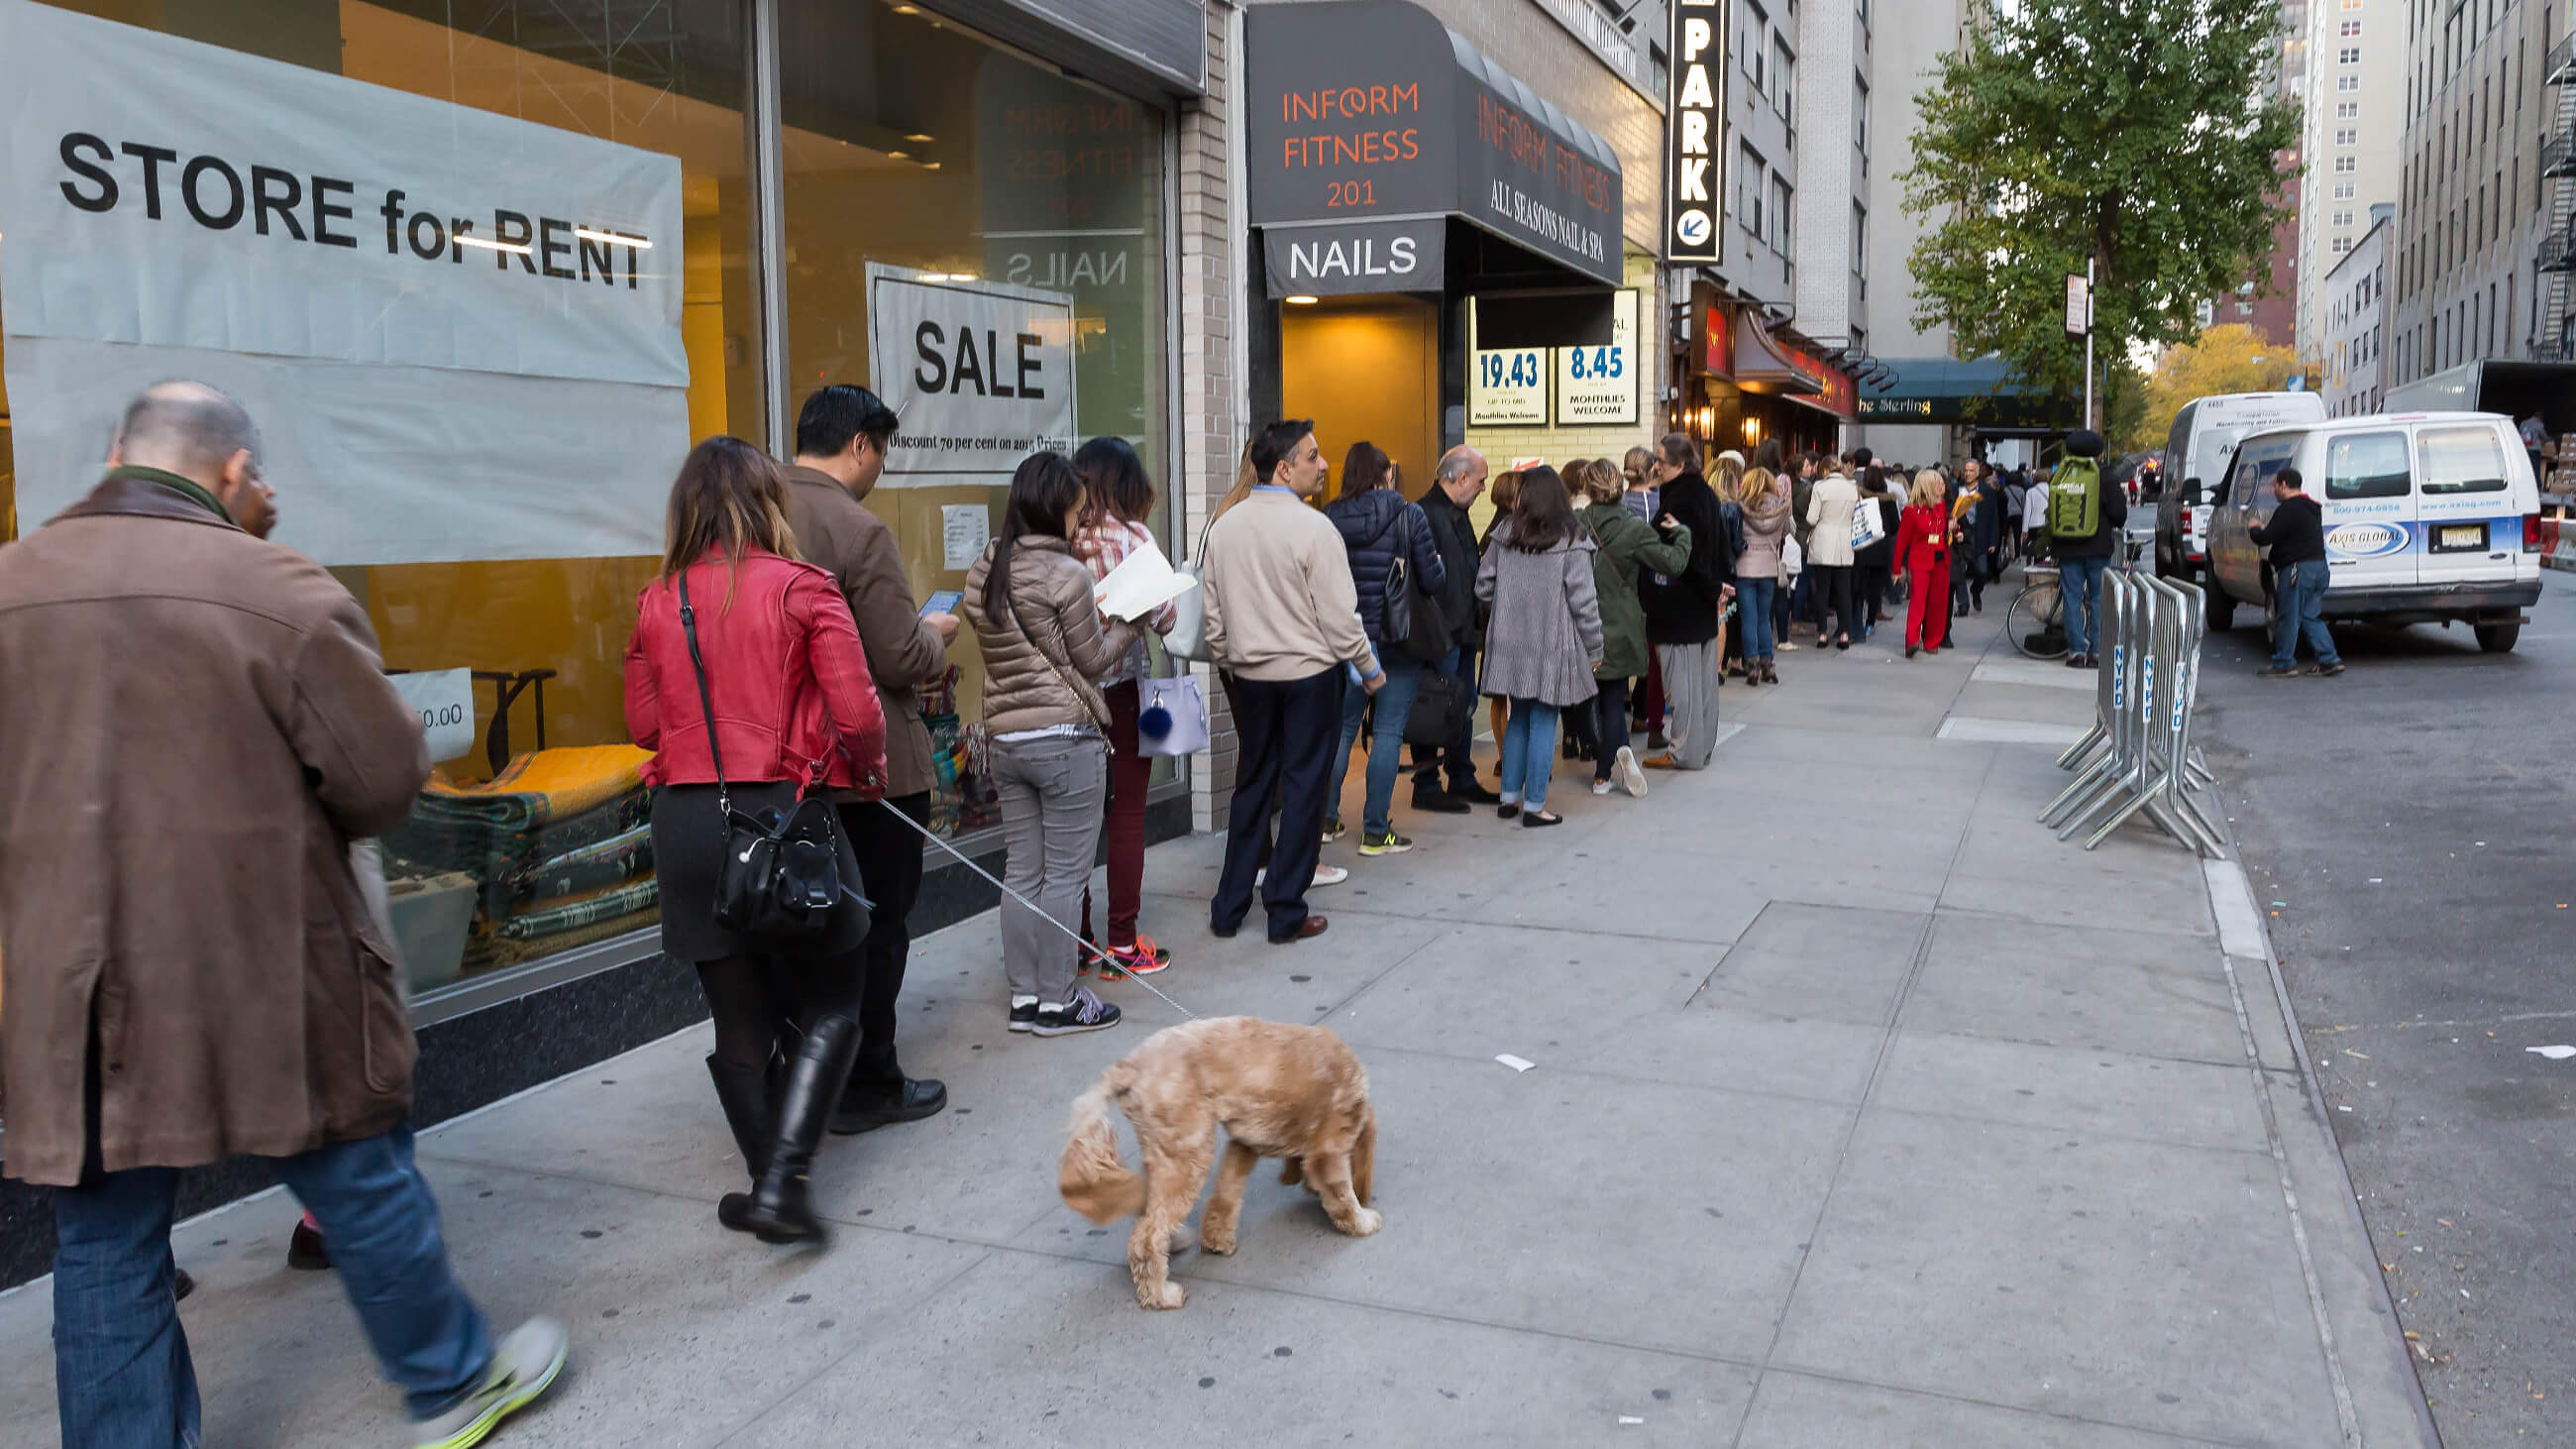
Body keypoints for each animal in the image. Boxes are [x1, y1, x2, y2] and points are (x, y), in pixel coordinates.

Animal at [1056, 1015, 1380, 1309]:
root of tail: (1129, 1066)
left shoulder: (1244, 1145)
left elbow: (1226, 1193)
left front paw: (1216, 1239)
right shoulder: (1330, 1149)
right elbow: (1342, 1193)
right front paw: (1361, 1222)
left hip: (1163, 1152)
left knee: (1149, 1210)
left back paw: (1173, 1243)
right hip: (1188, 1157)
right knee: (1145, 1238)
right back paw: (1161, 1295)